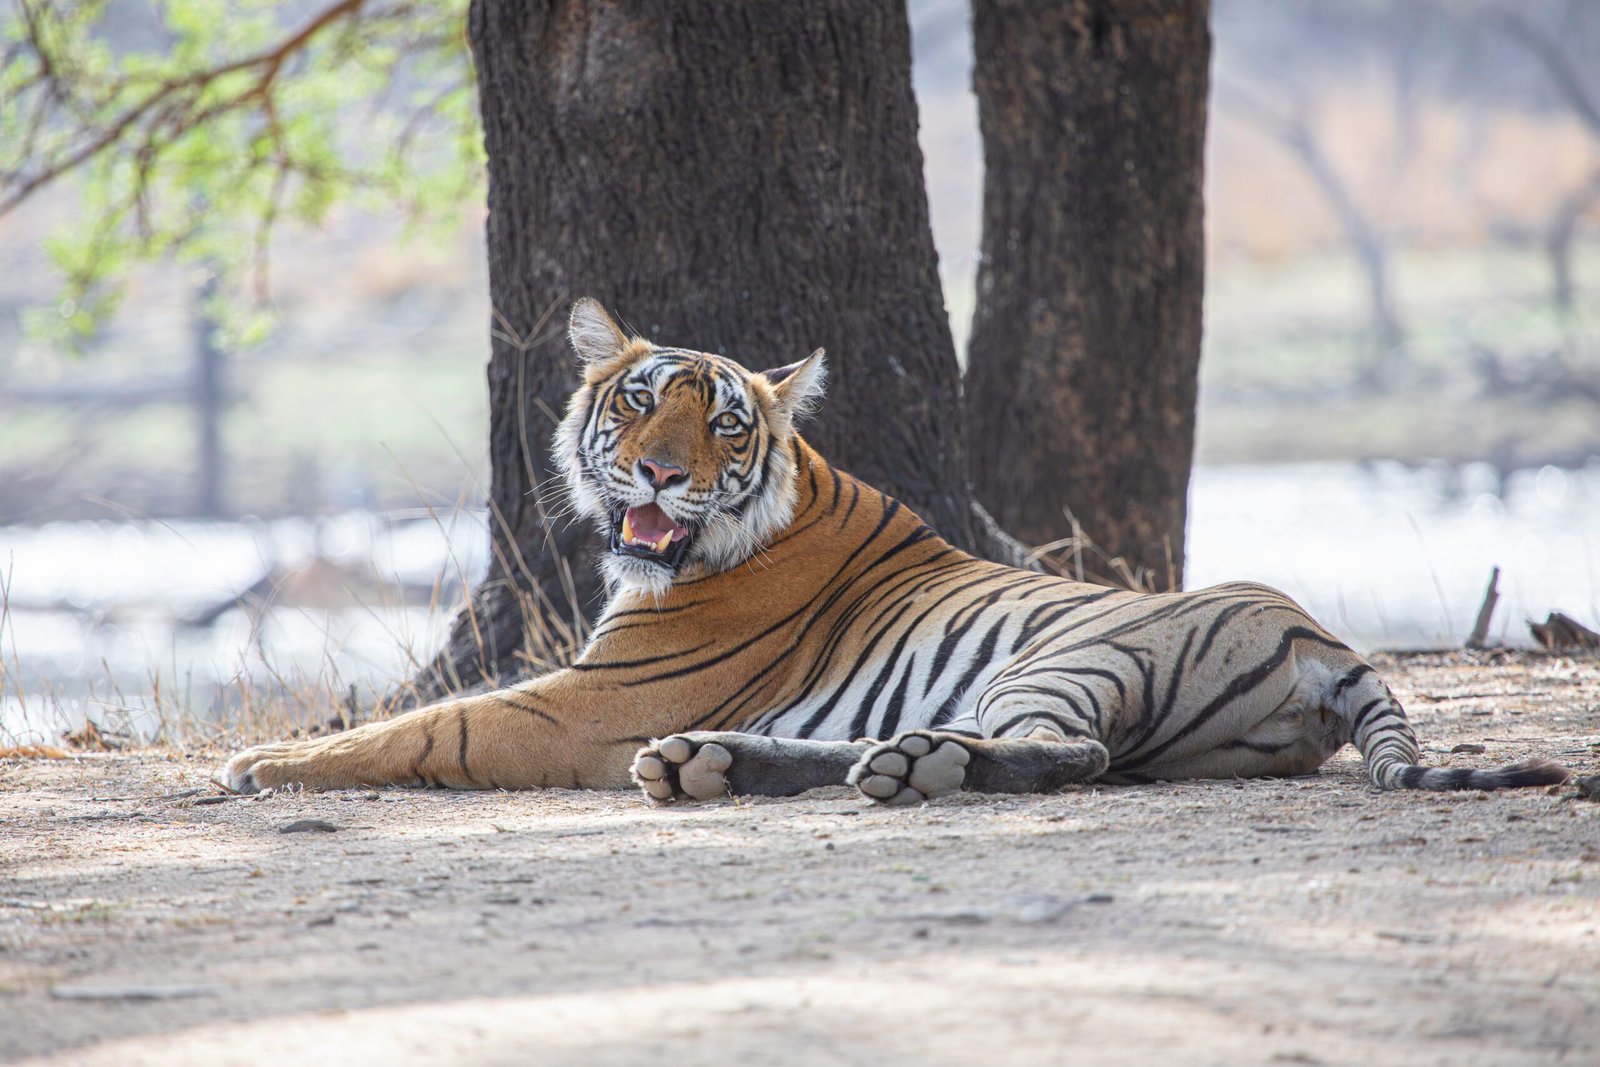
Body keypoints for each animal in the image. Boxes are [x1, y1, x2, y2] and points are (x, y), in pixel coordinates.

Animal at [221, 298, 1569, 804]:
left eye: (720, 422)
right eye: (640, 401)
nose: (659, 473)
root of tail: (1321, 635)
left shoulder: (586, 700)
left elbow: (425, 724)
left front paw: (260, 761)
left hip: (1061, 660)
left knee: (1067, 754)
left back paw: (907, 768)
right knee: (903, 747)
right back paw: (721, 763)